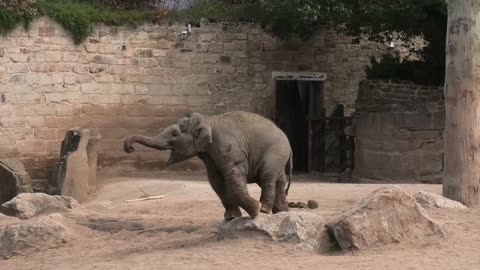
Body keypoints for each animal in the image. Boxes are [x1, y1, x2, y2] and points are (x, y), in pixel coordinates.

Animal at [123, 110, 292, 220]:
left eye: (175, 135)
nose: (130, 148)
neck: (207, 120)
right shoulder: (209, 156)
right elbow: (215, 180)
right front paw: (231, 217)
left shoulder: (228, 148)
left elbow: (233, 176)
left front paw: (255, 211)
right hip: (279, 156)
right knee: (279, 180)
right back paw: (282, 212)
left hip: (275, 151)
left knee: (266, 176)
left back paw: (264, 210)